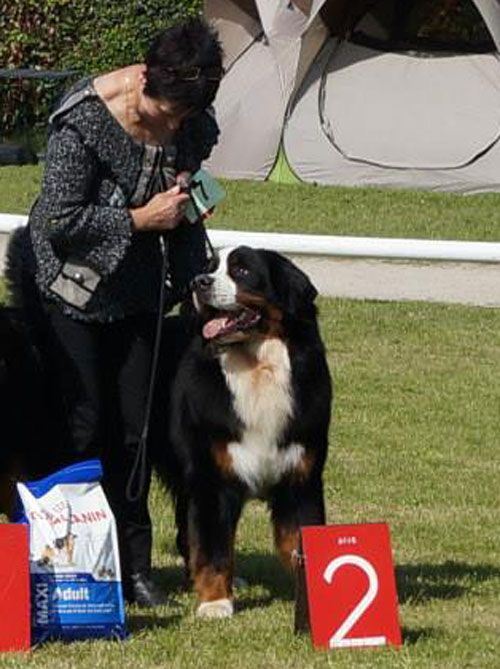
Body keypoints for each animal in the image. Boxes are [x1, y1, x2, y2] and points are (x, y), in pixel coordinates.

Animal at [168, 248, 332, 620]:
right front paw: (215, 602)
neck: (257, 368)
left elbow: (299, 540)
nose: (198, 282)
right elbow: (214, 547)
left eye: (241, 270)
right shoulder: (212, 480)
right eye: (209, 267)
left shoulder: (301, 475)